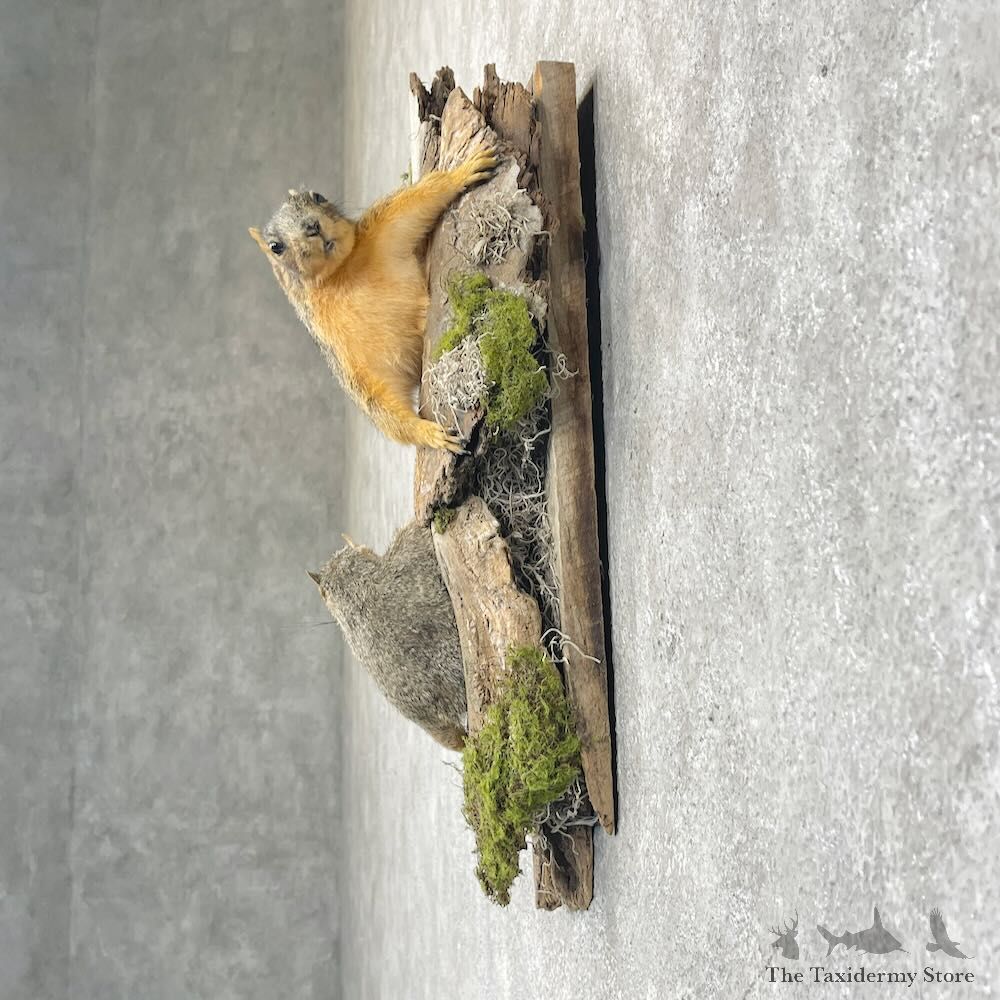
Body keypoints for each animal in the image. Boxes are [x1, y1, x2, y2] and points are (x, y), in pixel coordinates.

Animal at [249, 147, 498, 452]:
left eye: (318, 196)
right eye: (276, 247)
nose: (311, 226)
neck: (340, 273)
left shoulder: (383, 227)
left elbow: (420, 199)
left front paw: (460, 172)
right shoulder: (348, 360)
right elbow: (379, 403)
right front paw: (428, 433)